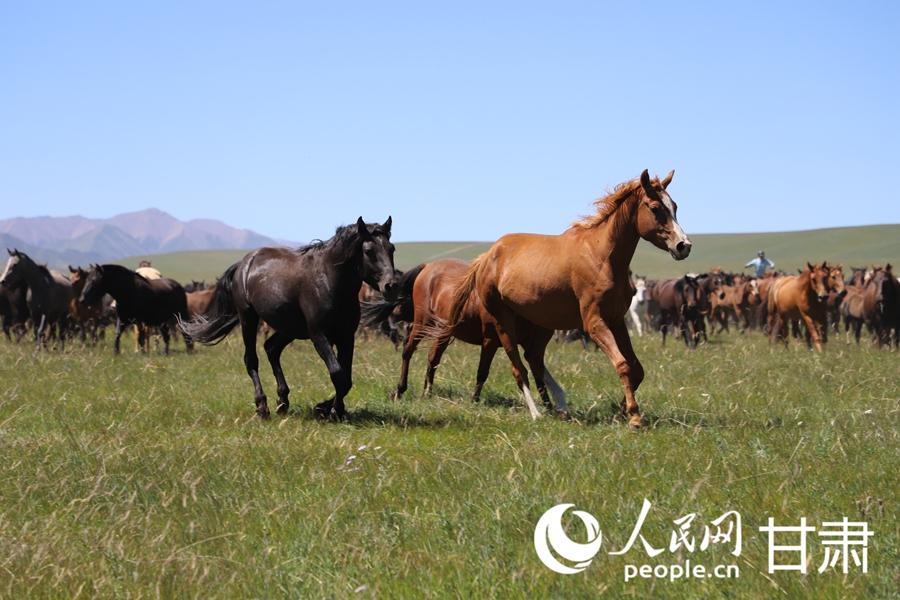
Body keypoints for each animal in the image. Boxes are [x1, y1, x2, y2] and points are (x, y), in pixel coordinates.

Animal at [179, 218, 398, 420]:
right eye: (368, 251)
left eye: (392, 248)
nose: (391, 286)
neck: (329, 281)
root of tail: (244, 264)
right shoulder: (319, 335)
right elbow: (338, 373)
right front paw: (332, 410)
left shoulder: (346, 336)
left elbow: (346, 378)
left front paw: (328, 408)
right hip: (248, 319)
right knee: (251, 360)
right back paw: (262, 407)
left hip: (288, 328)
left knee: (271, 349)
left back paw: (282, 401)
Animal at [362, 258, 568, 412]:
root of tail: (427, 266)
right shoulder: (491, 340)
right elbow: (483, 372)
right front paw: (474, 400)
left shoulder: (529, 344)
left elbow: (538, 372)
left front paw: (549, 405)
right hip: (422, 323)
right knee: (408, 349)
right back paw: (400, 390)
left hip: (443, 330)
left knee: (433, 357)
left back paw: (427, 392)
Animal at [442, 171, 688, 428]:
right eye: (655, 208)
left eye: (674, 206)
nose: (684, 245)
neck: (602, 256)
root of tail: (487, 257)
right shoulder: (594, 323)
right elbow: (622, 365)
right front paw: (634, 416)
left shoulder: (617, 321)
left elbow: (636, 368)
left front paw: (623, 412)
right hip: (504, 321)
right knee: (519, 368)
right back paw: (536, 413)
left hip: (542, 323)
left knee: (534, 358)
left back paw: (560, 405)